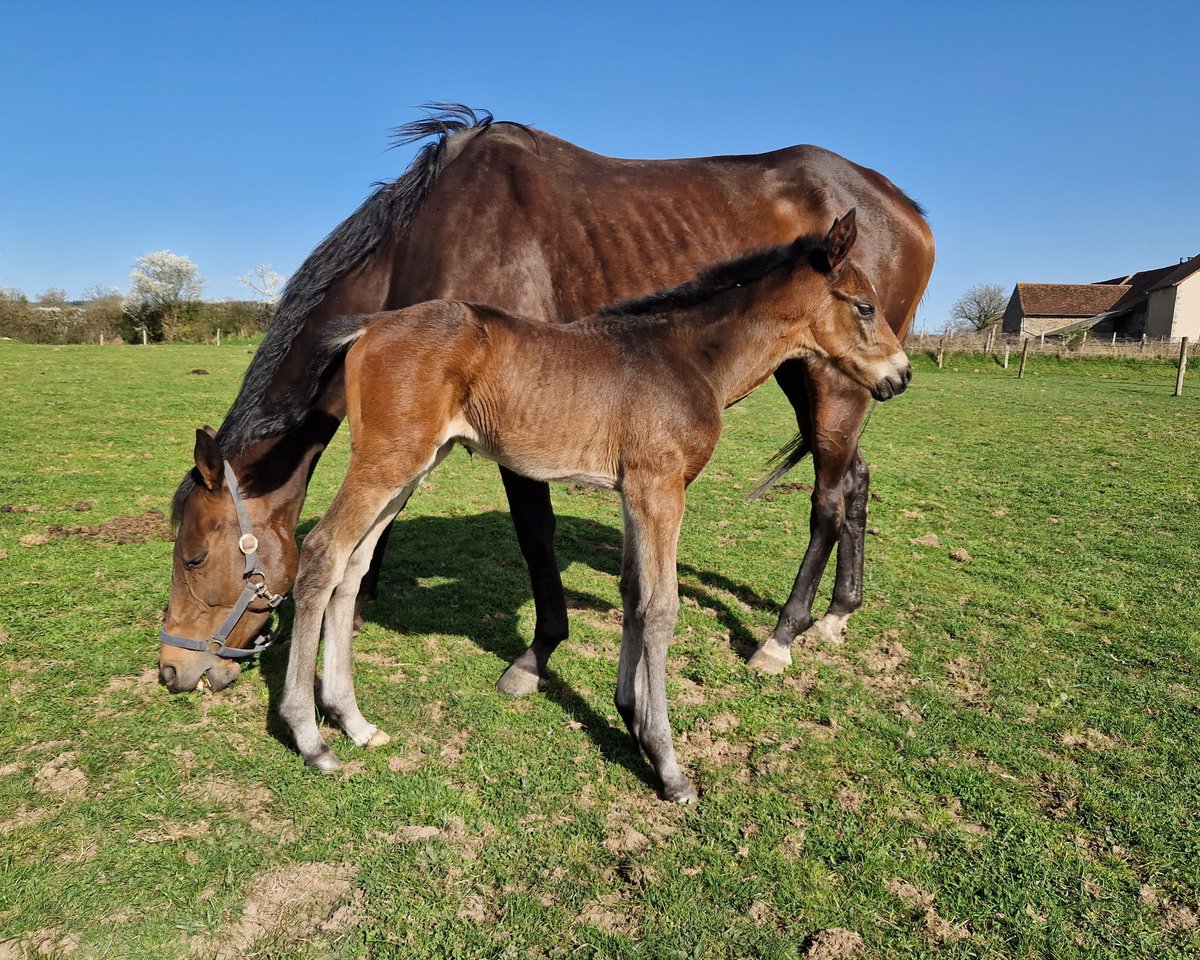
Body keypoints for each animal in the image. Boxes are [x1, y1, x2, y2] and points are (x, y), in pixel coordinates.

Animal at [160, 105, 933, 695]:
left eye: (194, 556)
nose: (173, 669)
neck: (434, 229)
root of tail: (903, 205)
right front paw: (362, 592)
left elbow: (535, 535)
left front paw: (536, 655)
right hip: (819, 375)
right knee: (856, 481)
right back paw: (838, 614)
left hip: (834, 380)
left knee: (828, 498)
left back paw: (781, 636)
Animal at [276, 210, 911, 802]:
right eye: (864, 306)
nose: (901, 375)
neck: (690, 357)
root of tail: (372, 324)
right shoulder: (661, 489)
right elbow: (661, 607)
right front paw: (668, 764)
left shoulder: (635, 492)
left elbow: (632, 594)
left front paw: (631, 719)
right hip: (389, 459)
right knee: (324, 553)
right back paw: (312, 738)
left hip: (414, 465)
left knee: (353, 567)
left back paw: (354, 721)